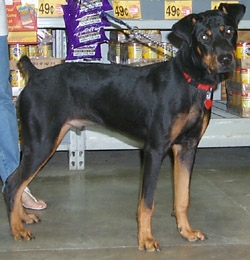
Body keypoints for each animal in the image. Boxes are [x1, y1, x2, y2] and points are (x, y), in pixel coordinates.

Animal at [3, 3, 246, 252]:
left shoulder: (186, 148)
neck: (189, 81)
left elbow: (182, 197)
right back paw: (17, 229)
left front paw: (186, 232)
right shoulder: (154, 150)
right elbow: (147, 202)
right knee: (12, 184)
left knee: (18, 182)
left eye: (228, 31)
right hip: (42, 142)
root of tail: (35, 74)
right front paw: (146, 239)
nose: (227, 59)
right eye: (204, 37)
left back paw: (23, 218)